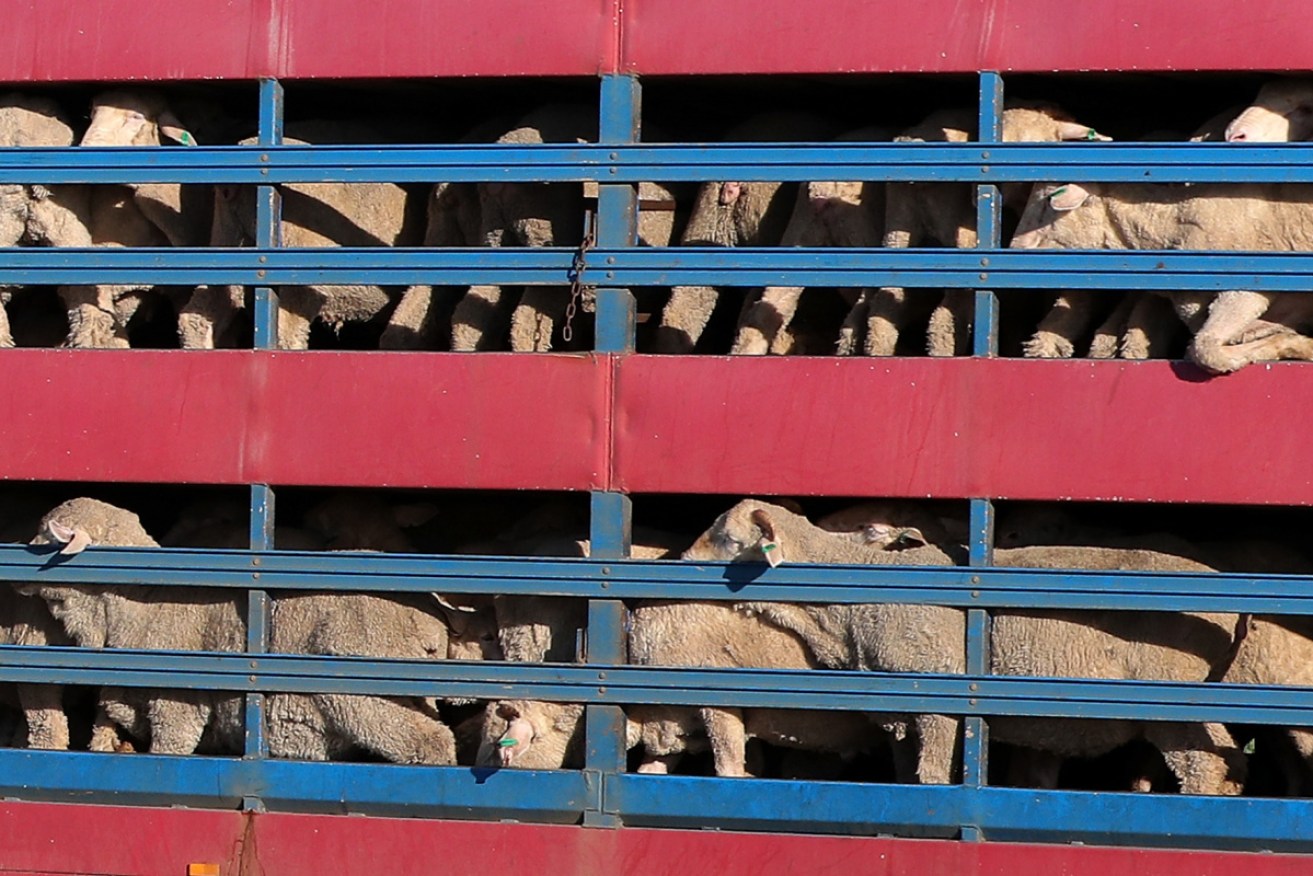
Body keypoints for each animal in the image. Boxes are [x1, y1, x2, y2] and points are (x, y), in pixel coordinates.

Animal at [693, 499, 1244, 793]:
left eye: (727, 539)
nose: (682, 559)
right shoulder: (899, 706)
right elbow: (908, 775)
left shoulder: (937, 696)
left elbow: (933, 777)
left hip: (1175, 702)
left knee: (1203, 766)